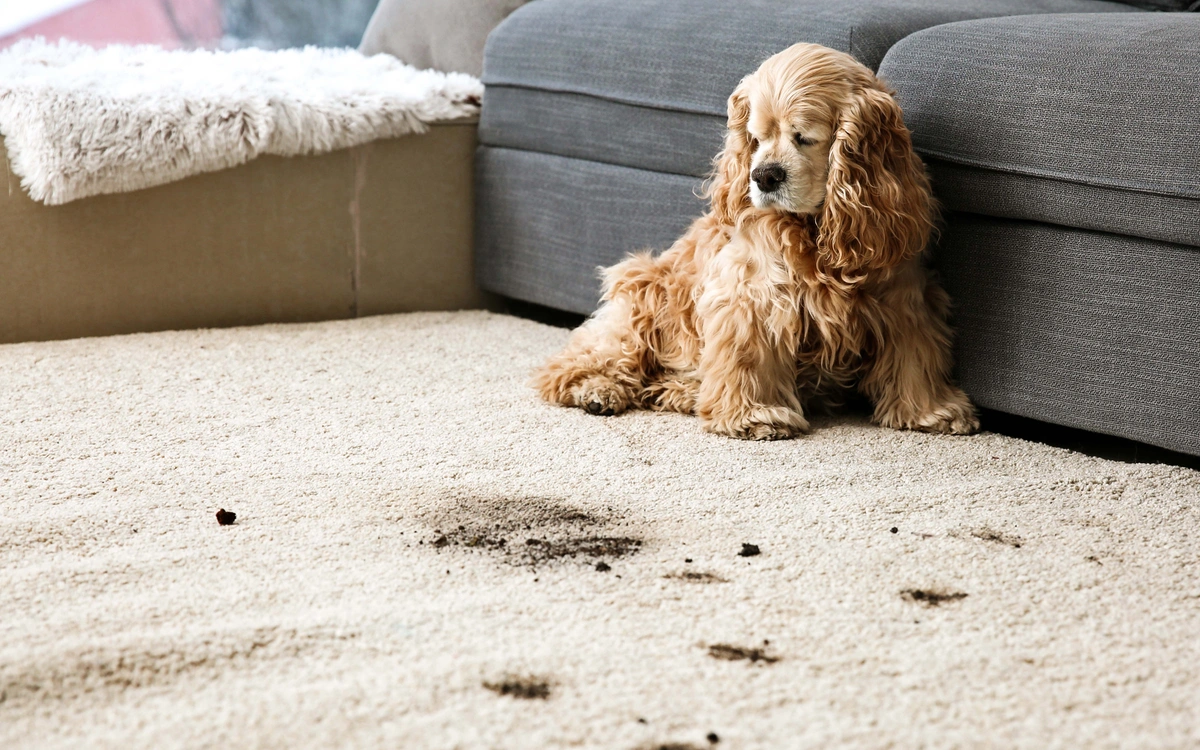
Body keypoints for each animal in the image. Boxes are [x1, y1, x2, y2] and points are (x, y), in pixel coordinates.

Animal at [540, 42, 979, 439]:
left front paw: (931, 411)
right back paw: (597, 390)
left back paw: (683, 392)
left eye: (804, 137)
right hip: (643, 295)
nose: (764, 175)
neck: (815, 230)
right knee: (573, 363)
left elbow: (914, 357)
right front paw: (754, 416)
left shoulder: (903, 297)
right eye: (756, 136)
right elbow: (748, 357)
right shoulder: (750, 295)